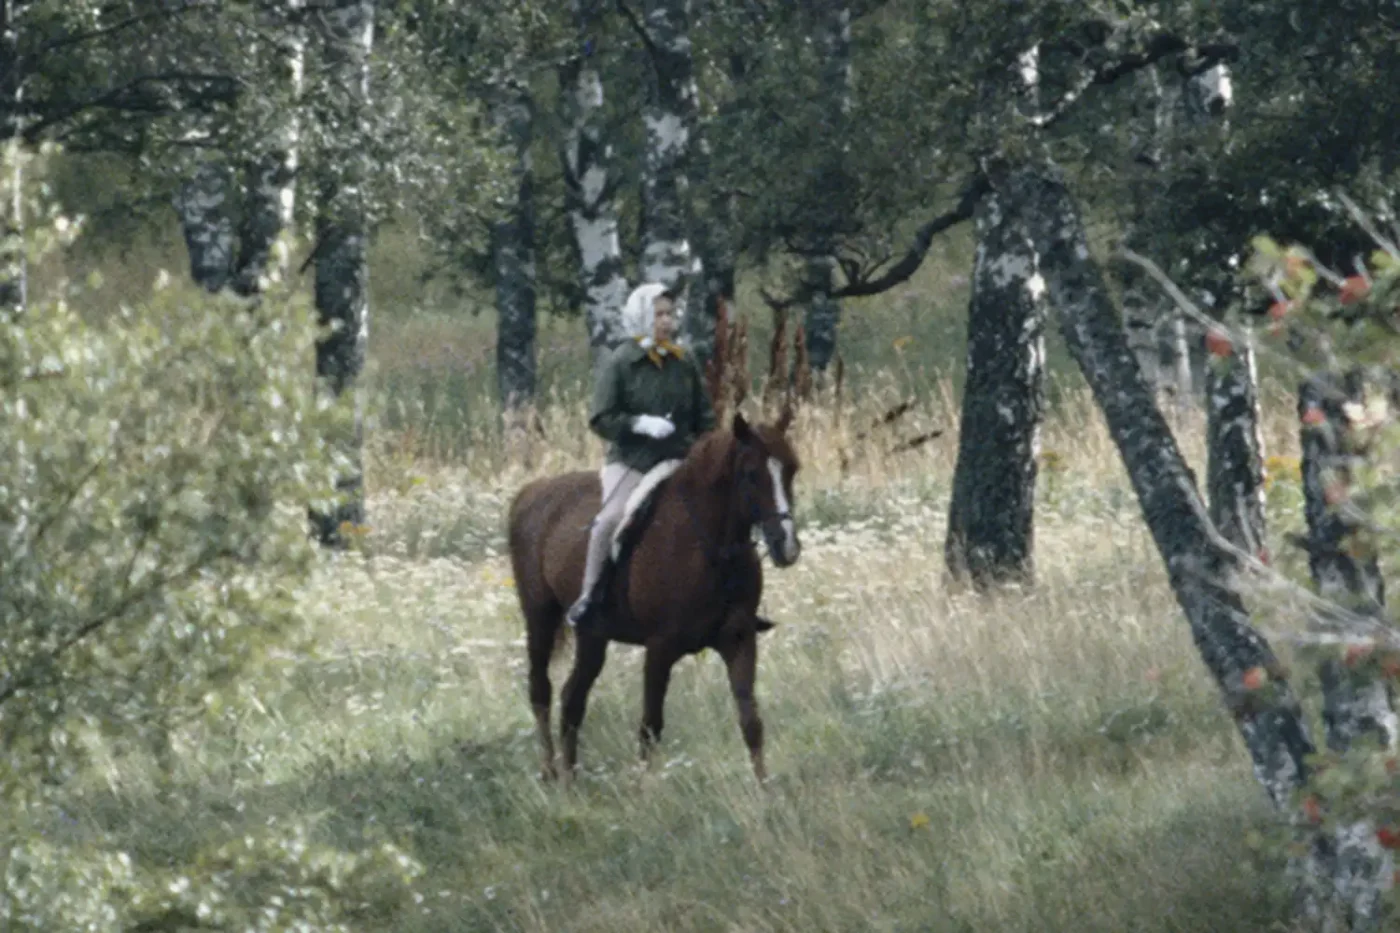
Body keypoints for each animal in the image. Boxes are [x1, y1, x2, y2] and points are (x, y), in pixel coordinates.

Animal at [506, 409, 802, 783]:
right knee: (540, 691)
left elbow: (751, 722)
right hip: (539, 619)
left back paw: (571, 779)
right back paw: (549, 773)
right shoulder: (660, 649)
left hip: (592, 635)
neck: (709, 548)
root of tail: (532, 492)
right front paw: (645, 790)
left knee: (572, 698)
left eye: (792, 469)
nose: (787, 546)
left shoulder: (739, 639)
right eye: (751, 473)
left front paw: (765, 789)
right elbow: (650, 727)